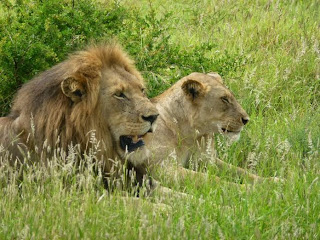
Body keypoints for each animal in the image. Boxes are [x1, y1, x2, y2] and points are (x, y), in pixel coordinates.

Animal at [145, 72, 280, 187]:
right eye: (224, 99)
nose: (246, 120)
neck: (191, 134)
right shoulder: (162, 169)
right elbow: (212, 179)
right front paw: (246, 189)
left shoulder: (209, 159)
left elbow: (241, 171)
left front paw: (272, 182)